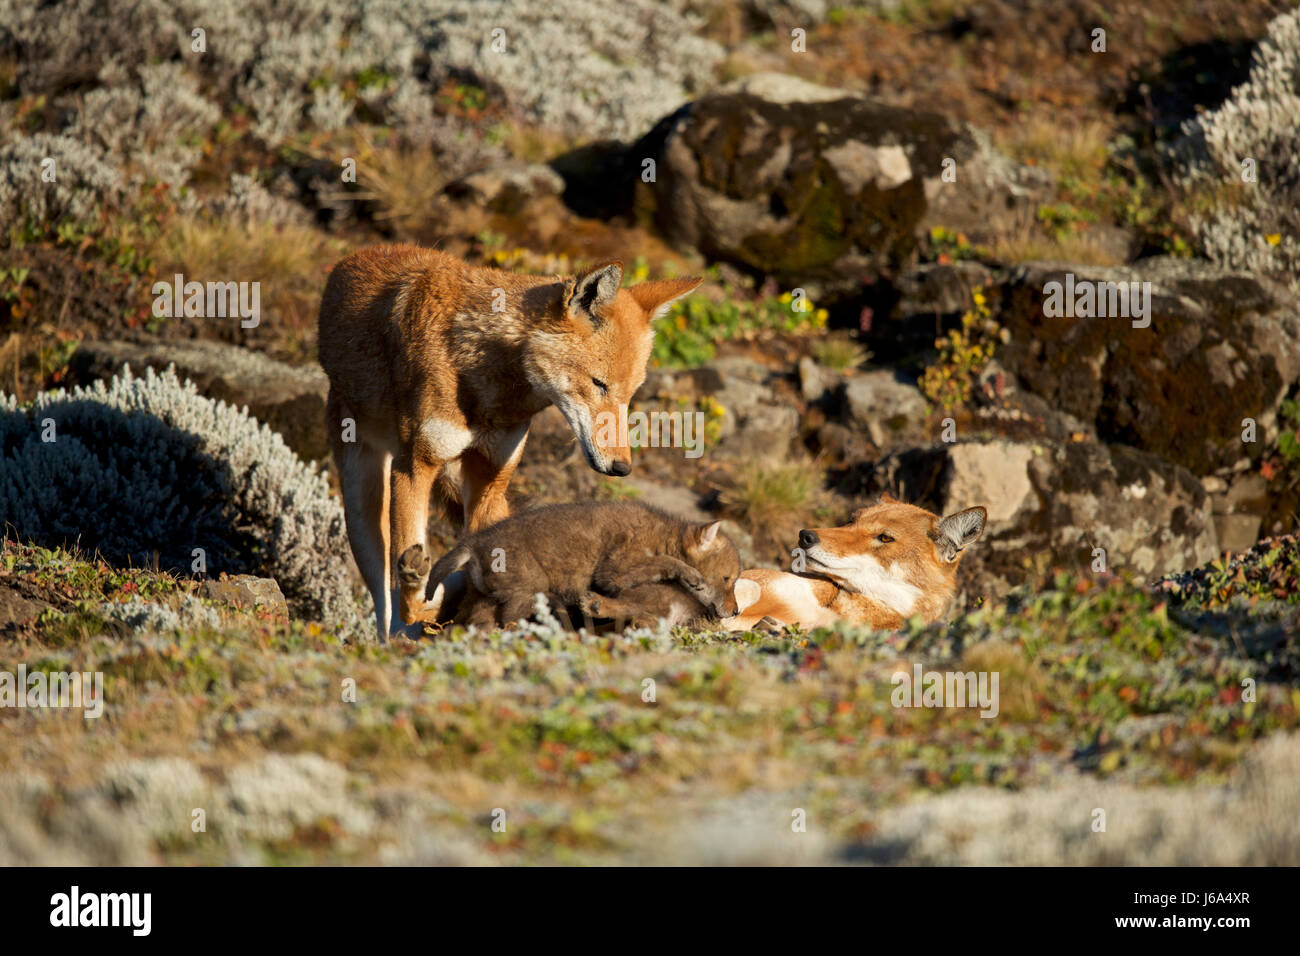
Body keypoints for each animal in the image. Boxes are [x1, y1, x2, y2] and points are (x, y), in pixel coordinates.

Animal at [318, 243, 702, 639]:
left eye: (630, 396)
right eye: (599, 384)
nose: (622, 467)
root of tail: (350, 260)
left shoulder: (490, 480)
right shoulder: (413, 467)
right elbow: (408, 594)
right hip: (361, 509)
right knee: (384, 596)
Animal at [395, 502, 743, 629]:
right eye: (728, 578)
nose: (736, 611)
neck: (662, 535)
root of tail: (473, 544)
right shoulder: (613, 571)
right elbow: (666, 562)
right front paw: (692, 575)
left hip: (488, 595)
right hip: (528, 586)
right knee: (508, 619)